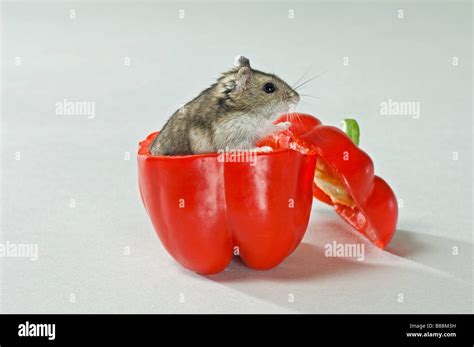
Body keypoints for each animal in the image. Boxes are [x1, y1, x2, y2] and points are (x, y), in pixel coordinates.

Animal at [150, 56, 300, 156]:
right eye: (269, 88)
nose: (297, 98)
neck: (250, 111)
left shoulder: (260, 128)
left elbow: (270, 128)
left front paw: (287, 125)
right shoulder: (235, 137)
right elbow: (246, 148)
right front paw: (265, 149)